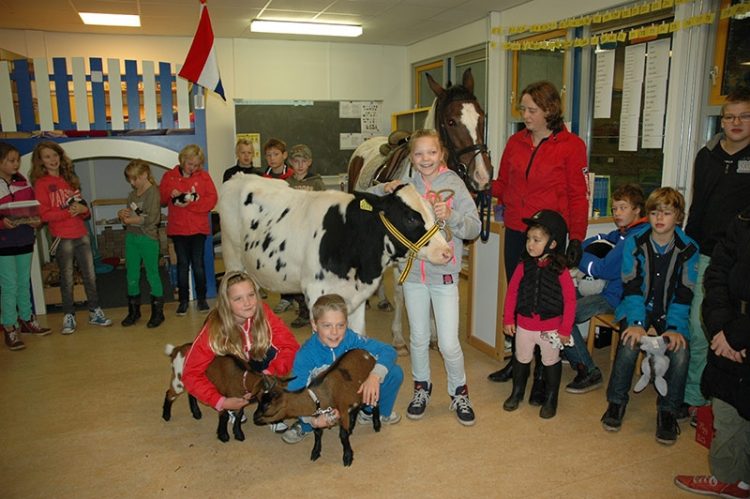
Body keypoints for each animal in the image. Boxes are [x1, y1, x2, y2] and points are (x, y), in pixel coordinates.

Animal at [219, 175, 452, 336]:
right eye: (411, 218)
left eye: (432, 212)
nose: (447, 252)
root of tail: (239, 176)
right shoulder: (316, 293)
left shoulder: (357, 297)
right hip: (233, 260)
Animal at [352, 68, 496, 354]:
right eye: (451, 121)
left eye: (481, 116)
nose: (482, 176)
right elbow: (401, 289)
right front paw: (398, 337)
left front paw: (433, 333)